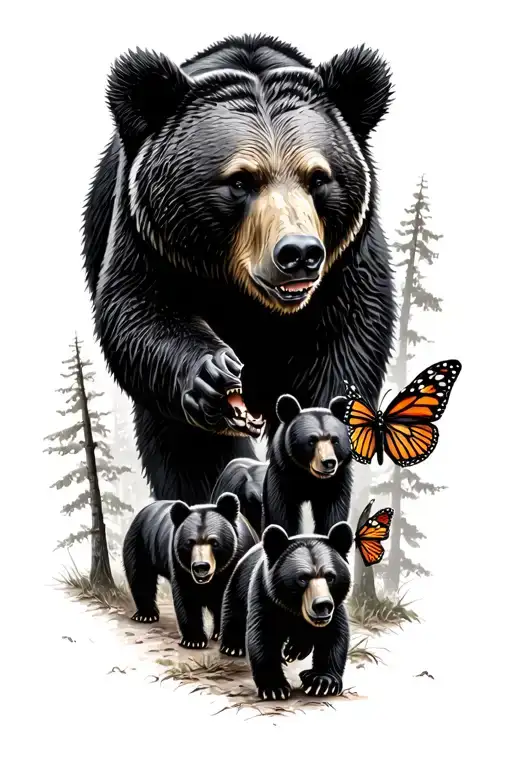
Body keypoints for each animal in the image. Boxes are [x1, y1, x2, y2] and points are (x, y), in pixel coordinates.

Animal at [83, 34, 395, 506]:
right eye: (240, 180)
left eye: (318, 177)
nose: (299, 253)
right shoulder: (147, 236)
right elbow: (139, 310)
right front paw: (213, 373)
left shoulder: (346, 256)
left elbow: (350, 335)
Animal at [122, 492, 258, 648]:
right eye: (189, 542)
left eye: (214, 542)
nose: (201, 566)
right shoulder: (180, 563)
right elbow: (187, 595)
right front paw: (194, 640)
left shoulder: (239, 557)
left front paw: (222, 635)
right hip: (141, 544)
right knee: (141, 576)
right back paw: (146, 615)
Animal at [219, 522, 353, 700]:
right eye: (302, 578)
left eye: (330, 577)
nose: (322, 605)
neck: (294, 609)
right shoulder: (265, 596)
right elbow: (263, 636)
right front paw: (274, 687)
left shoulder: (335, 606)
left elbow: (333, 636)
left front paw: (321, 682)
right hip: (240, 581)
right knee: (234, 607)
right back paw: (232, 646)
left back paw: (295, 650)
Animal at [261, 393, 353, 536]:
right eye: (311, 441)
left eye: (335, 441)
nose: (329, 462)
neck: (307, 477)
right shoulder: (281, 475)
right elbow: (283, 512)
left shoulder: (337, 481)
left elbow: (333, 511)